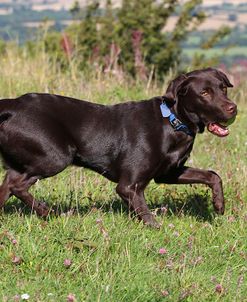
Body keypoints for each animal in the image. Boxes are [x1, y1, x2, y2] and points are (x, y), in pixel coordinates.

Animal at [0, 68, 237, 226]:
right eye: (204, 93)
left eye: (223, 88)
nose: (233, 108)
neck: (171, 121)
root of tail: (14, 103)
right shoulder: (129, 186)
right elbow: (145, 213)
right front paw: (158, 230)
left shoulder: (169, 173)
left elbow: (212, 175)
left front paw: (219, 204)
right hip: (55, 156)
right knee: (17, 186)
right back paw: (46, 212)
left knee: (8, 185)